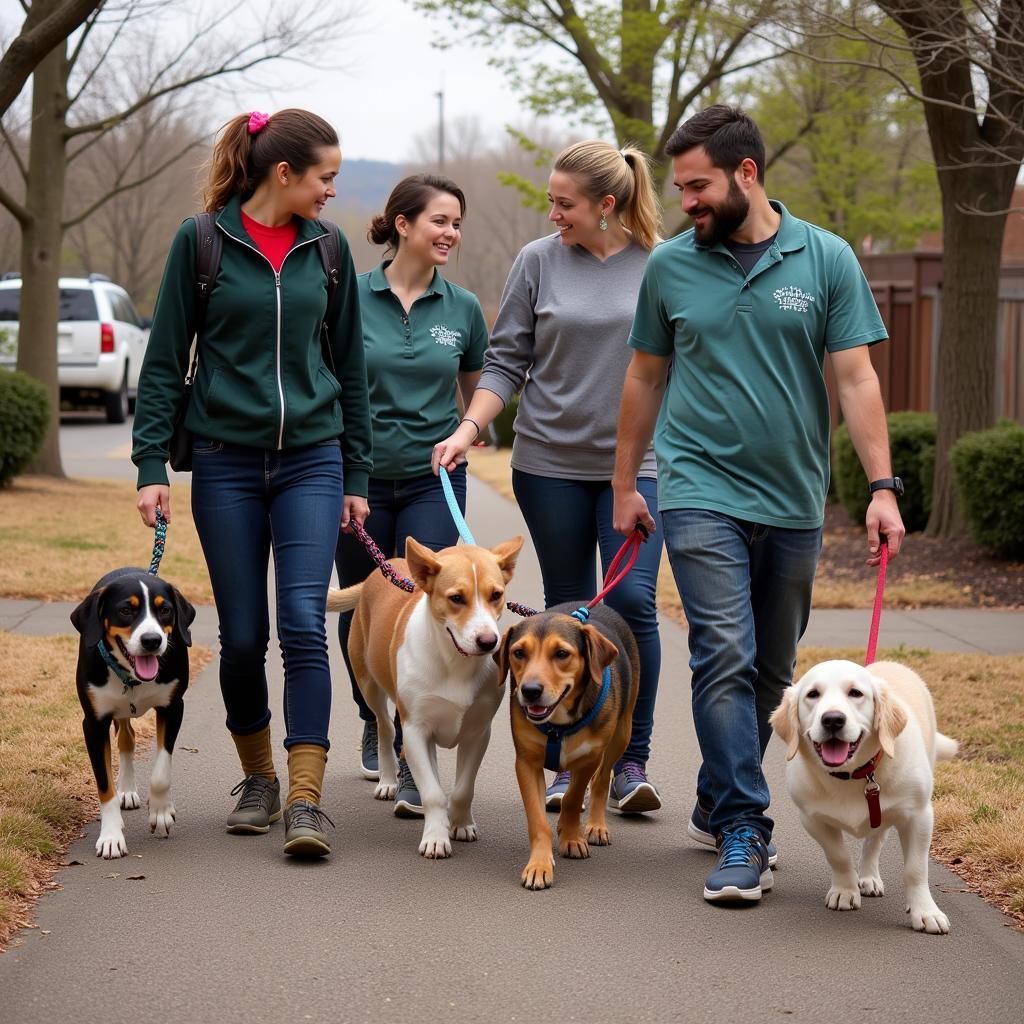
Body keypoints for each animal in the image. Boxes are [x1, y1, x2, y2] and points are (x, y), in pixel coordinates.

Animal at [71, 569, 194, 856]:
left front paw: (161, 812)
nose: (152, 640)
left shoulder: (173, 707)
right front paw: (111, 837)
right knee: (126, 739)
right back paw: (125, 790)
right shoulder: (93, 723)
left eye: (165, 610)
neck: (132, 677)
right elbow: (105, 787)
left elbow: (161, 771)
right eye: (126, 610)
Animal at [325, 540, 520, 860]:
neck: (454, 661)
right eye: (456, 598)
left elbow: (463, 788)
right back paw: (388, 780)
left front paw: (461, 824)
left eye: (496, 595)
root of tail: (383, 568)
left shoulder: (478, 733)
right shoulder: (415, 730)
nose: (488, 642)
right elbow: (432, 793)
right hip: (369, 685)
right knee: (385, 729)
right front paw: (436, 837)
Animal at [495, 598, 638, 888]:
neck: (557, 726)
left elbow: (574, 798)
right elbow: (538, 819)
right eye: (518, 652)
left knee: (602, 779)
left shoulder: (589, 759)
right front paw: (539, 864)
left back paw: (595, 825)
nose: (530, 691)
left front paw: (572, 837)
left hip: (622, 734)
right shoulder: (526, 763)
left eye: (561, 653)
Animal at [770, 659, 958, 933]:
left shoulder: (919, 816)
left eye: (856, 693)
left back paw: (871, 877)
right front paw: (845, 891)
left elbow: (915, 869)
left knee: (875, 840)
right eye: (813, 694)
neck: (852, 774)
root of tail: (890, 663)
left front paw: (925, 911)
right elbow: (838, 856)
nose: (833, 720)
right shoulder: (812, 819)